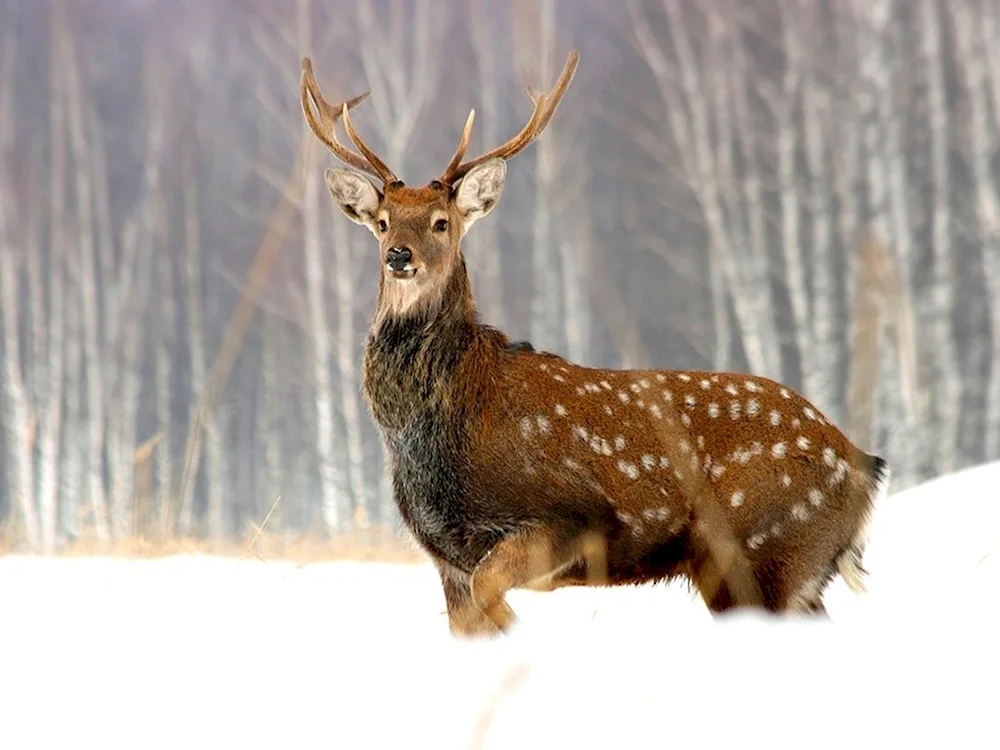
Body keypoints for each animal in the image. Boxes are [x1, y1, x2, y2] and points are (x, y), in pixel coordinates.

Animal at [298, 50, 892, 636]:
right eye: (382, 222)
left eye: (441, 222)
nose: (399, 256)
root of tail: (863, 467)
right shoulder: (447, 558)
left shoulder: (567, 517)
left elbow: (497, 594)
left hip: (763, 551)